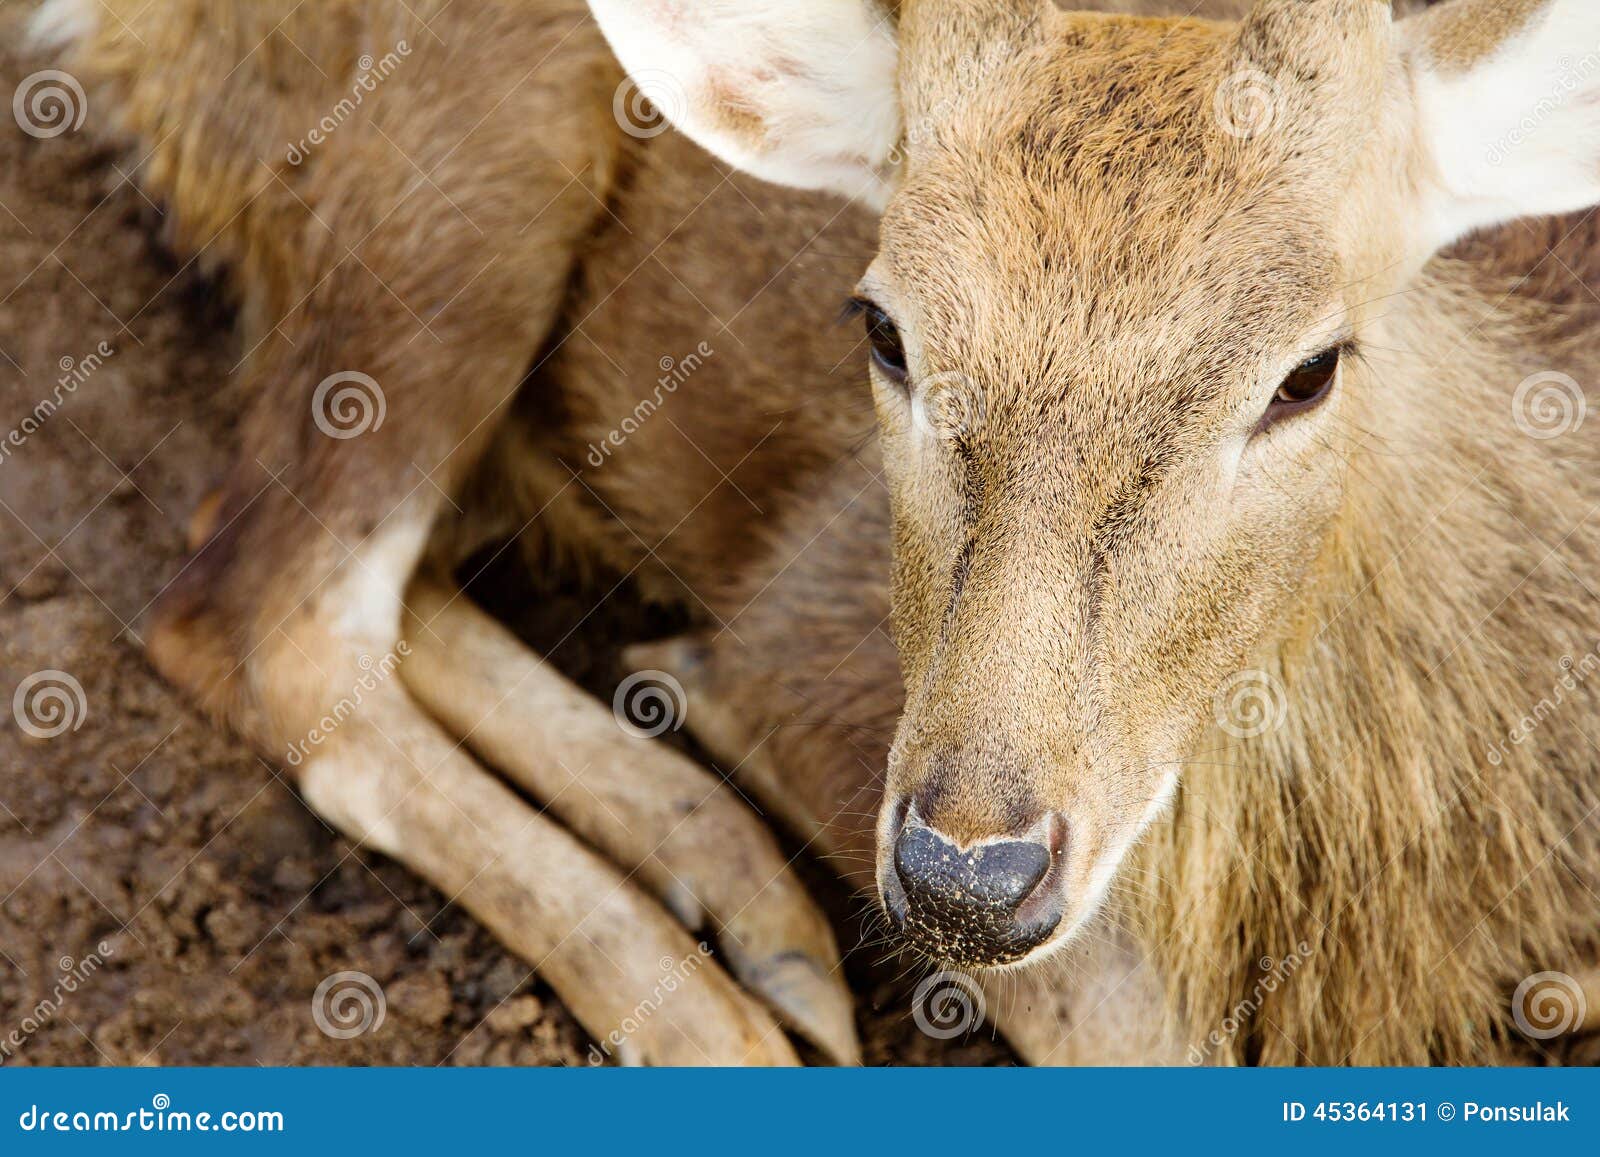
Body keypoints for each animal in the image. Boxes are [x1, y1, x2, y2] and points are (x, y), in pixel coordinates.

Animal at [31, 0, 1600, 1064]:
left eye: (1307, 369)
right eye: (883, 328)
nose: (968, 867)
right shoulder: (820, 629)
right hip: (455, 173)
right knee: (253, 602)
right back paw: (714, 1005)